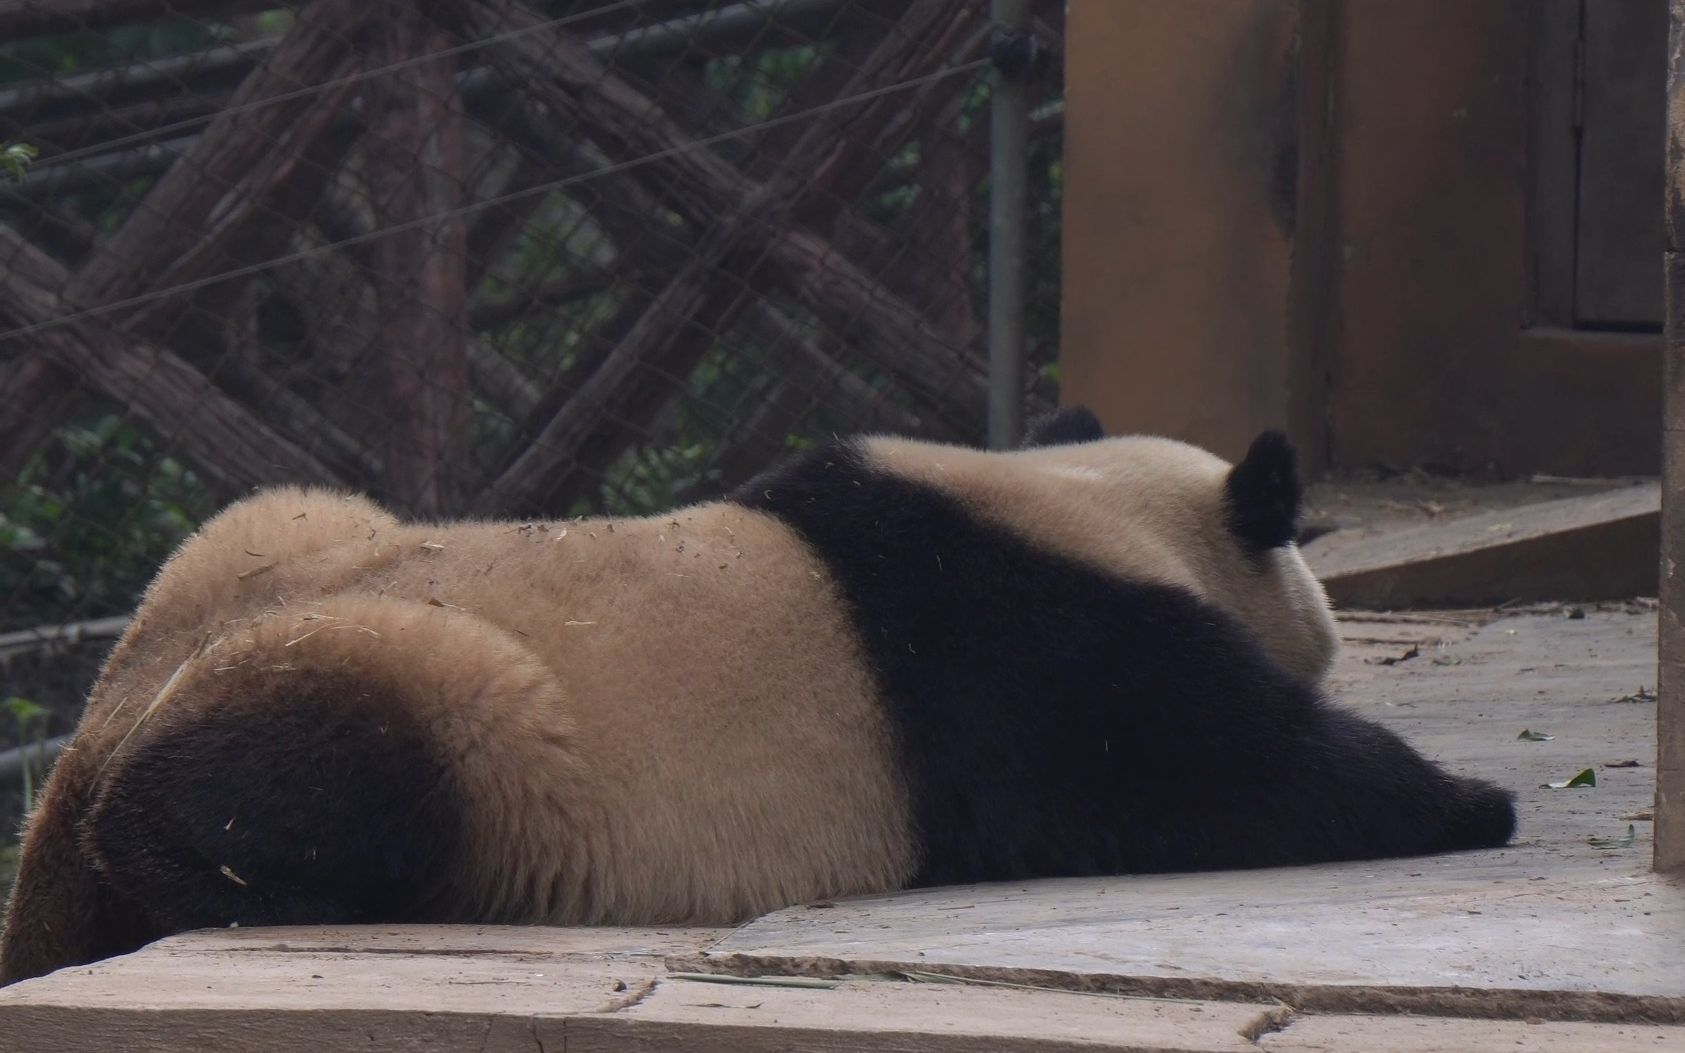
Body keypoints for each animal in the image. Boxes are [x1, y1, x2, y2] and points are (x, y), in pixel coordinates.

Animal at [0, 406, 1516, 983]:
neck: (1084, 501)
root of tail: (75, 765)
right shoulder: (1027, 649)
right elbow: (1210, 772)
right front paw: (1471, 800)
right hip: (428, 688)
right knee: (288, 785)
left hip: (259, 541)